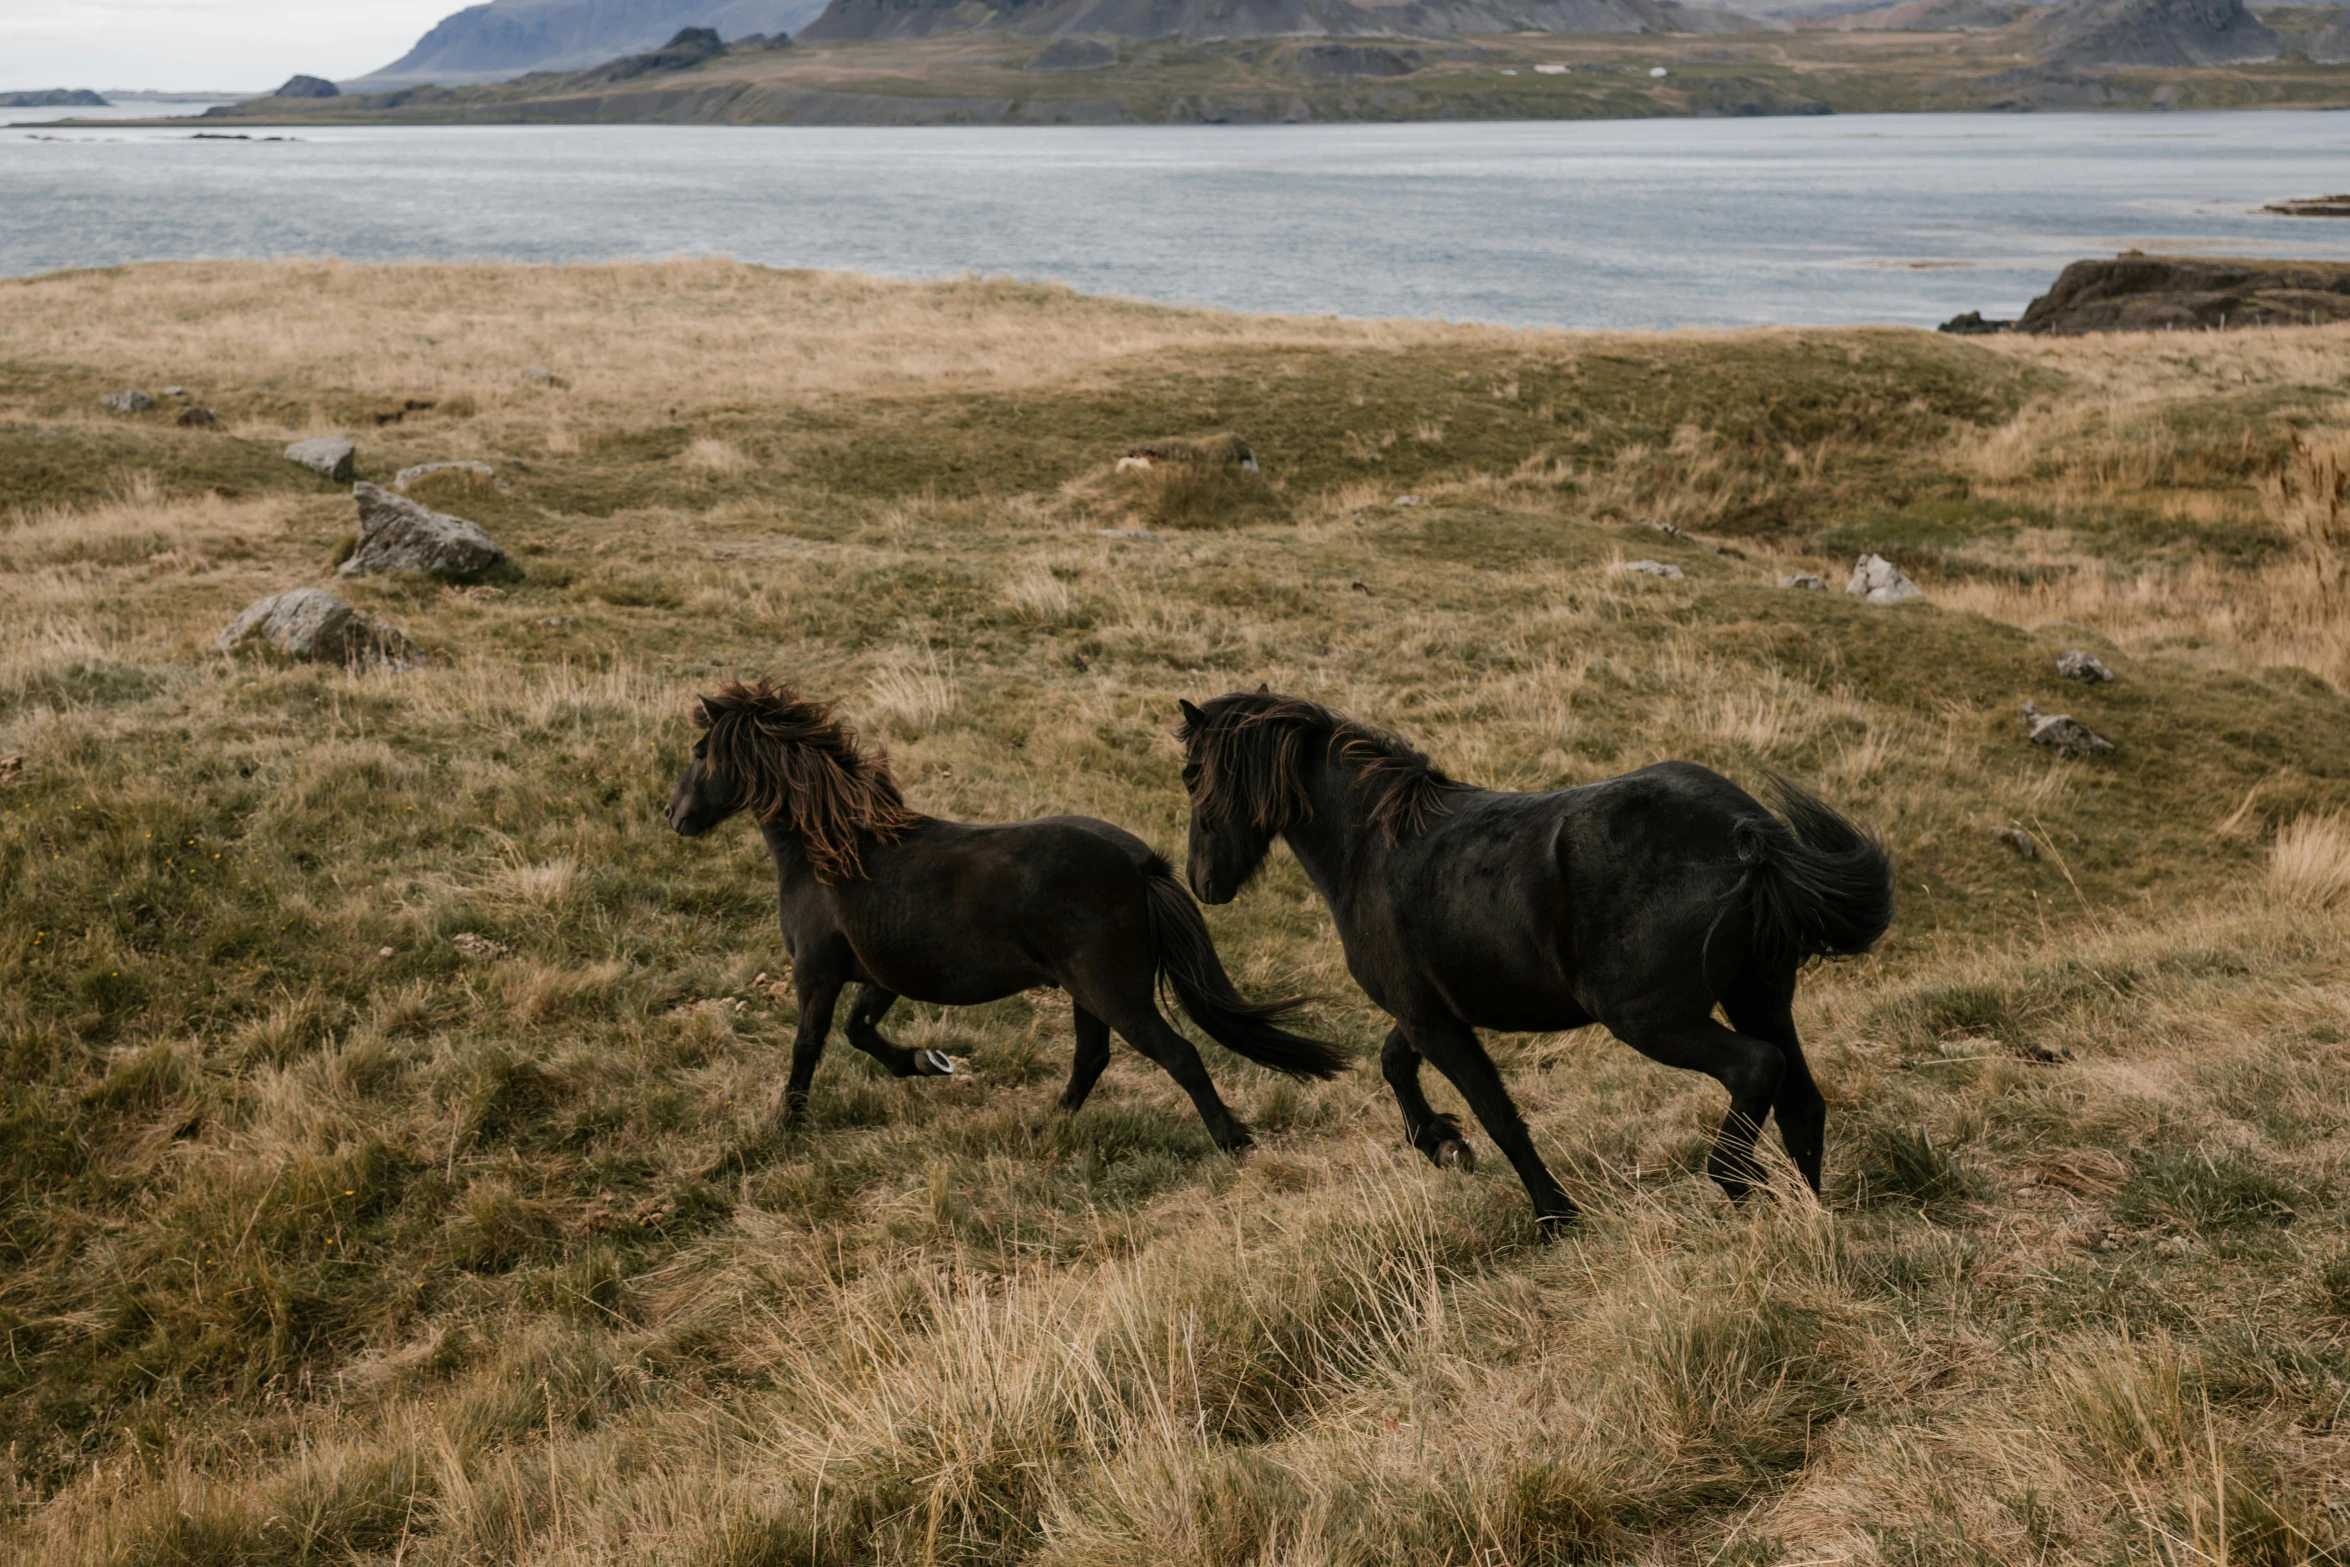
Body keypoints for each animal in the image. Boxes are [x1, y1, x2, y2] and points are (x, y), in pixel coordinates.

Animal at [672, 676, 1353, 1151]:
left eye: (701, 751)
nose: (673, 816)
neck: (834, 851)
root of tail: (1141, 864)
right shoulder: (880, 977)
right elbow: (859, 1033)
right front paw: (927, 1063)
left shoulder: (816, 972)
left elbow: (808, 1045)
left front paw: (786, 1124)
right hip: (1088, 993)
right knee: (1092, 1058)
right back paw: (1048, 1126)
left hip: (1113, 992)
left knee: (1178, 1054)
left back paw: (1233, 1140)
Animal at [1175, 690, 1889, 1231]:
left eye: (1191, 778)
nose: (1202, 882)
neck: (1373, 846)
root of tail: (1748, 834)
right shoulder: (1429, 1013)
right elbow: (1394, 1062)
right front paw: (1441, 1143)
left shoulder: (1433, 1021)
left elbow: (1500, 1118)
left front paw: (1553, 1215)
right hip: (1759, 997)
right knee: (1801, 1103)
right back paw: (1808, 1216)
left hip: (1653, 1021)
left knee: (1756, 1069)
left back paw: (1736, 1183)